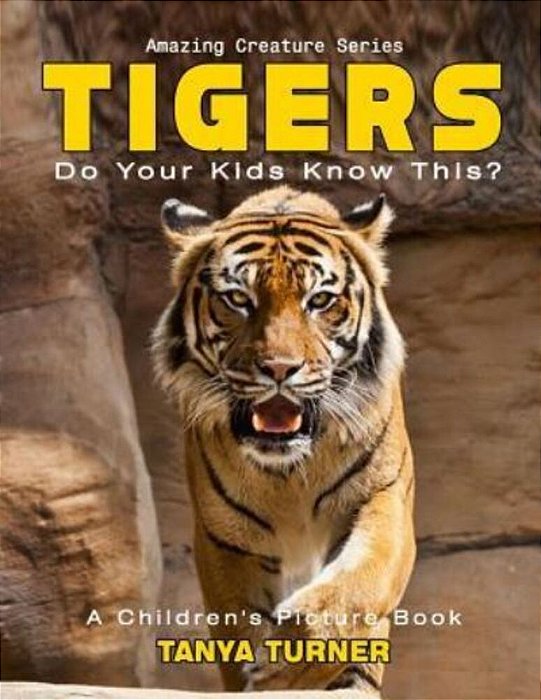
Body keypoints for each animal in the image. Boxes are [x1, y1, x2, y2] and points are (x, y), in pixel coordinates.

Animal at [152, 186, 415, 695]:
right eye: (238, 298)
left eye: (321, 300)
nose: (279, 369)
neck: (291, 473)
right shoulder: (227, 539)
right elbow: (239, 627)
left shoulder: (382, 496)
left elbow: (359, 587)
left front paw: (293, 667)